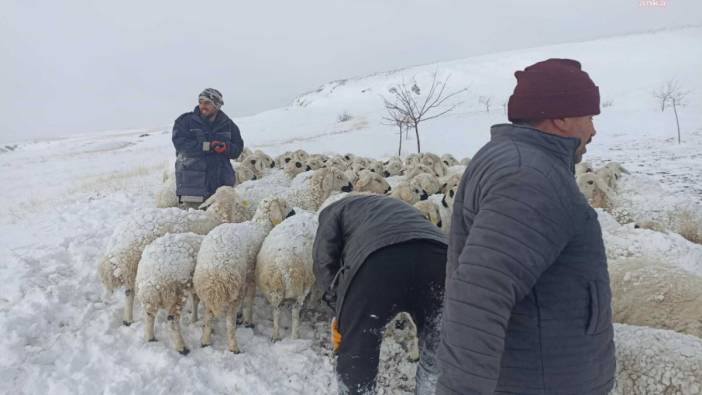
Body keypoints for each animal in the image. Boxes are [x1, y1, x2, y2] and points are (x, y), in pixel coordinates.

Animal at [99, 187, 248, 326]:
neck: (219, 214)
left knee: (128, 292)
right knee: (131, 294)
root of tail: (119, 242)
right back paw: (129, 318)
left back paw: (127, 319)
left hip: (131, 269)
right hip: (134, 265)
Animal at [194, 197, 292, 352]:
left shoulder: (245, 278)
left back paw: (205, 340)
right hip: (233, 289)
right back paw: (234, 347)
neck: (261, 226)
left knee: (208, 317)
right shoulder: (251, 276)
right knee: (229, 322)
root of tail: (215, 272)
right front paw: (248, 320)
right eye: (284, 204)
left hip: (207, 292)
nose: (293, 212)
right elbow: (249, 300)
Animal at [256, 212, 320, 342]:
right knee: (295, 312)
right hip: (301, 288)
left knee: (276, 311)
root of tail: (283, 267)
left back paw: (276, 336)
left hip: (274, 291)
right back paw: (295, 336)